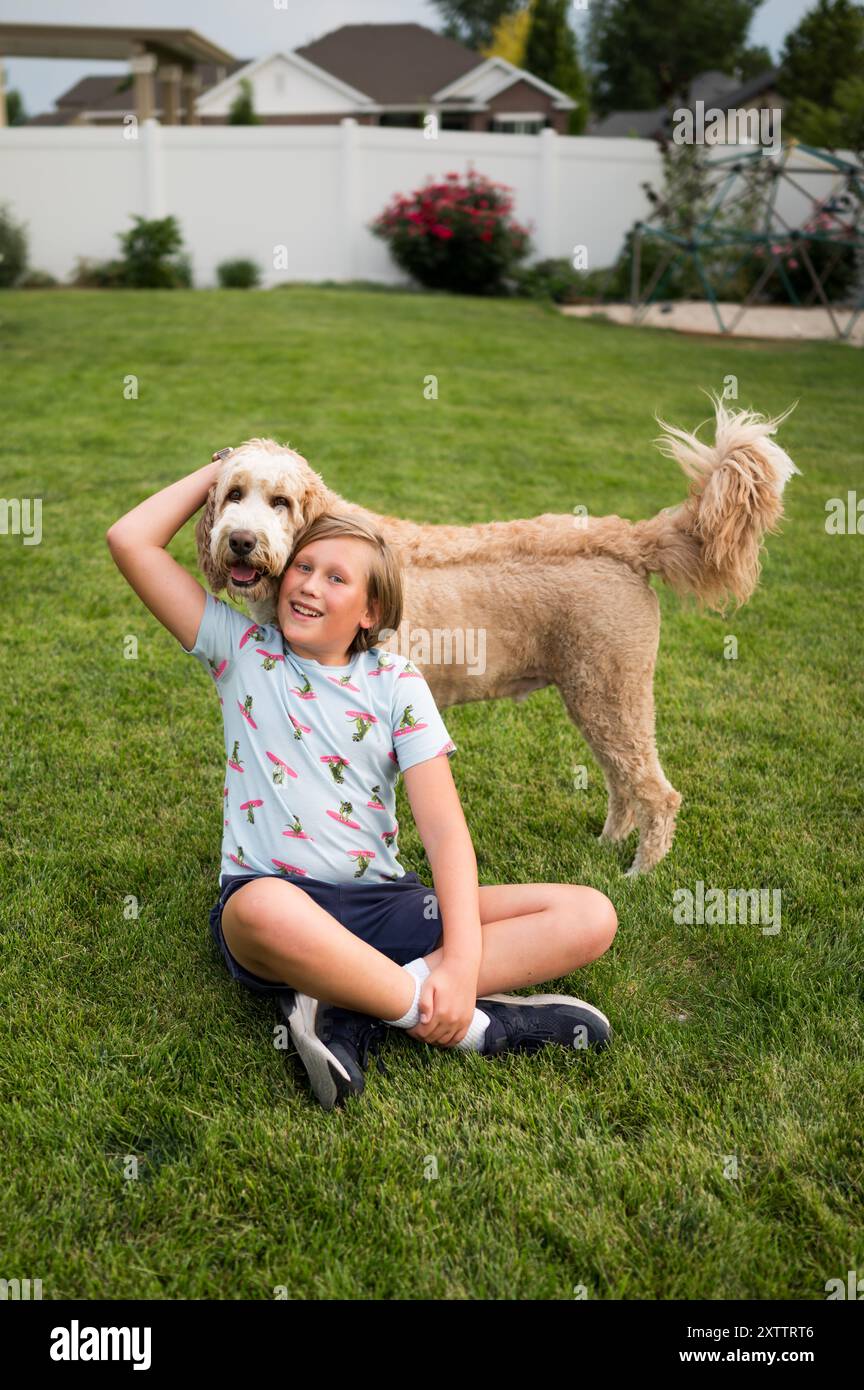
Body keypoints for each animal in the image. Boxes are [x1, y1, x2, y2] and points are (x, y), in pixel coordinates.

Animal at [194, 391, 800, 872]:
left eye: (281, 502)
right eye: (233, 494)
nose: (241, 542)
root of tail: (629, 538)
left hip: (610, 692)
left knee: (657, 792)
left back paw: (639, 873)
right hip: (595, 695)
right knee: (621, 782)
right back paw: (609, 845)